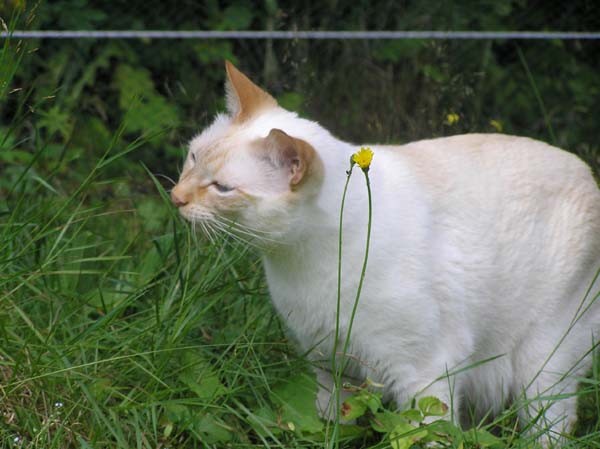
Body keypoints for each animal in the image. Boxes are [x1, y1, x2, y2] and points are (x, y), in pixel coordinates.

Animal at [171, 60, 600, 444]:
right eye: (192, 157)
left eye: (222, 188)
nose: (176, 198)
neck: (301, 262)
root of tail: (586, 172)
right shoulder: (330, 365)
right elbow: (329, 427)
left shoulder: (424, 373)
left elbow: (427, 434)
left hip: (540, 368)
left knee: (550, 428)